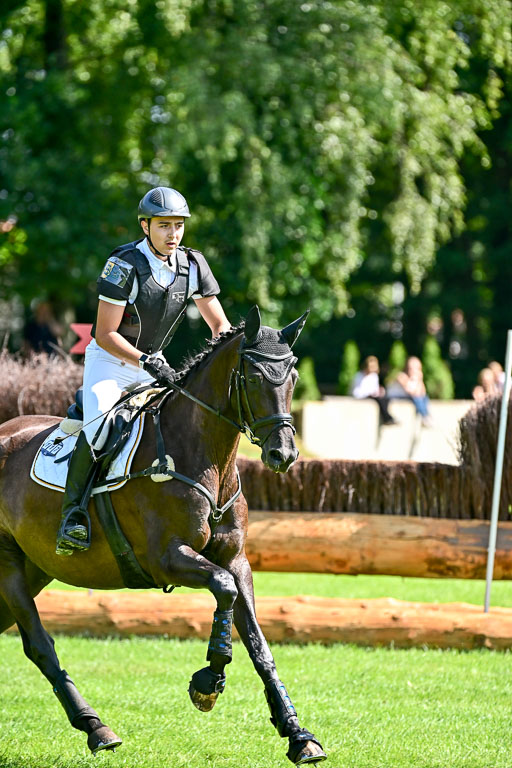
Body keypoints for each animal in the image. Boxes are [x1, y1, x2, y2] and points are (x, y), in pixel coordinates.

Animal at [0, 306, 326, 766]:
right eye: (253, 376)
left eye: (293, 375)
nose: (283, 455)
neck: (204, 455)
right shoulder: (166, 558)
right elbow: (223, 590)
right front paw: (208, 681)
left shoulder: (235, 559)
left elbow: (258, 643)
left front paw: (298, 734)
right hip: (9, 566)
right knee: (40, 646)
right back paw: (97, 729)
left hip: (34, 568)